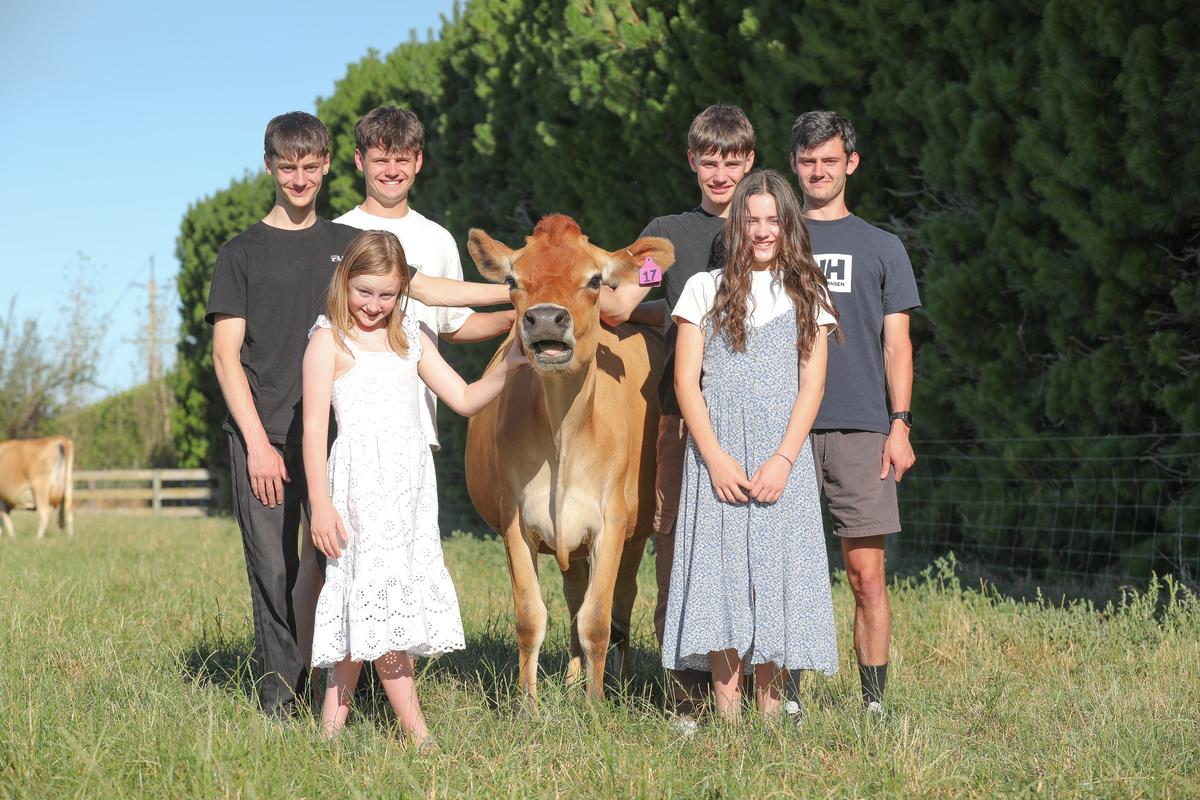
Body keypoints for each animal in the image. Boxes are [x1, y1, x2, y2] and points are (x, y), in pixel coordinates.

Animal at [465, 212, 676, 700]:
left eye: (596, 279)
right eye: (512, 279)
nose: (545, 318)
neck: (564, 432)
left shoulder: (612, 522)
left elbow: (597, 620)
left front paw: (596, 704)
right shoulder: (515, 520)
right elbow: (531, 616)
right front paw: (527, 703)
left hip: (636, 532)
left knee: (619, 605)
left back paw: (618, 679)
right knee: (574, 593)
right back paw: (573, 677)